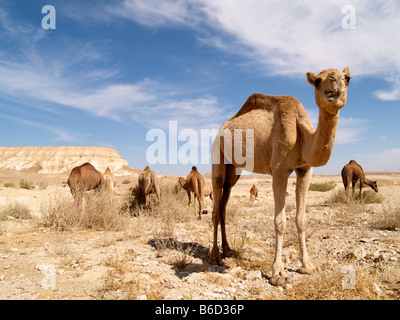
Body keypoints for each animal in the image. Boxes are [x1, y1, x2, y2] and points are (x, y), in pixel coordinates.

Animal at [209, 67, 350, 284]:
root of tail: (221, 129)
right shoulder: (279, 170)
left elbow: (301, 219)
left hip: (233, 170)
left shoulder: (305, 170)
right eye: (318, 80)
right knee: (216, 207)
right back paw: (214, 256)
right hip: (217, 152)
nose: (335, 83)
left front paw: (307, 266)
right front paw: (277, 273)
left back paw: (227, 250)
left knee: (224, 203)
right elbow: (279, 222)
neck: (301, 134)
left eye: (347, 78)